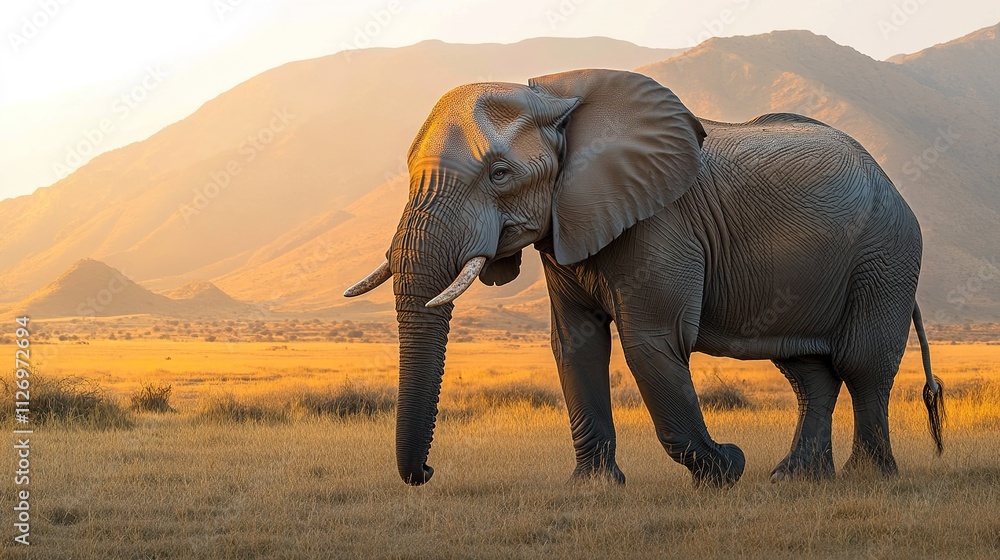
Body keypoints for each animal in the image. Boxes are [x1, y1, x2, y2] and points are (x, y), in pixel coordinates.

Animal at [345, 69, 944, 487]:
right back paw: (794, 478)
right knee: (807, 371)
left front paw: (727, 468)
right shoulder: (566, 224)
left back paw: (868, 478)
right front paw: (593, 488)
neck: (553, 96)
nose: (426, 474)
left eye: (499, 173)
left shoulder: (660, 222)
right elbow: (575, 344)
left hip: (887, 254)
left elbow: (650, 342)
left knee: (863, 365)